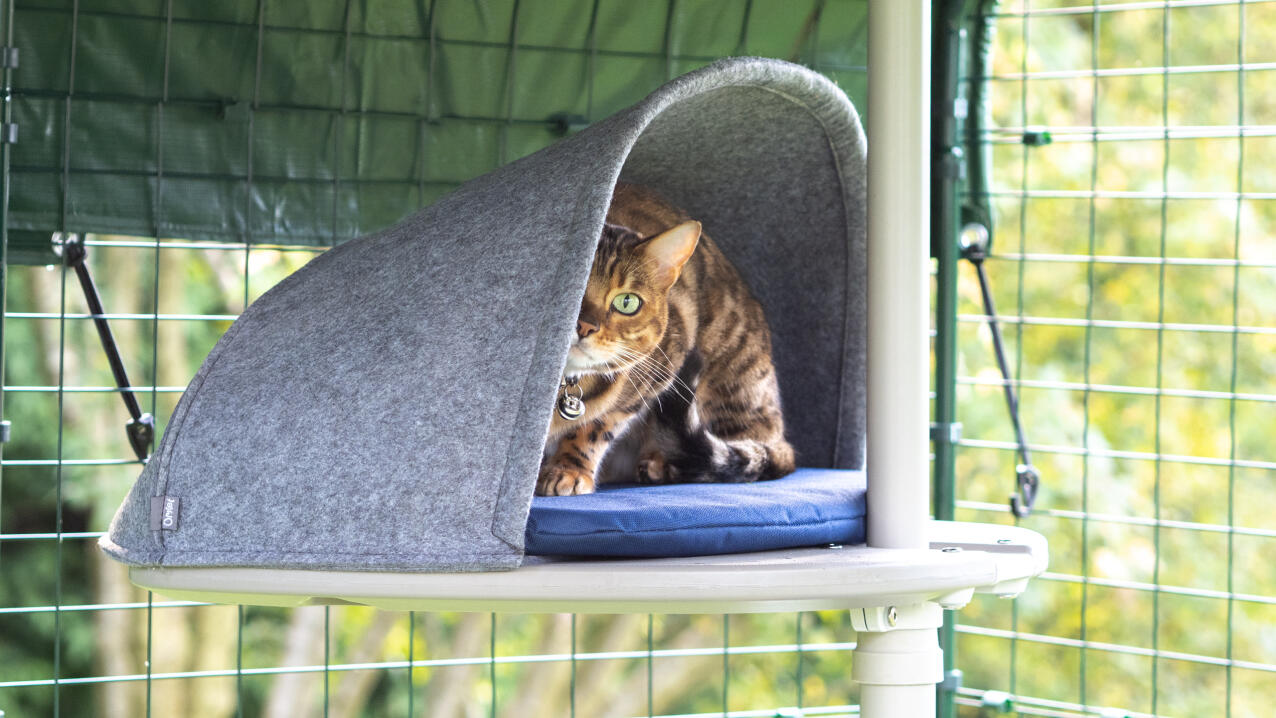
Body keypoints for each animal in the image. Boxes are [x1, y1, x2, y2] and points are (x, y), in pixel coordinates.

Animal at [533, 182, 791, 497]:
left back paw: (660, 465)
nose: (584, 326)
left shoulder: (662, 367)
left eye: (627, 302)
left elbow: (595, 428)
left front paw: (568, 469)